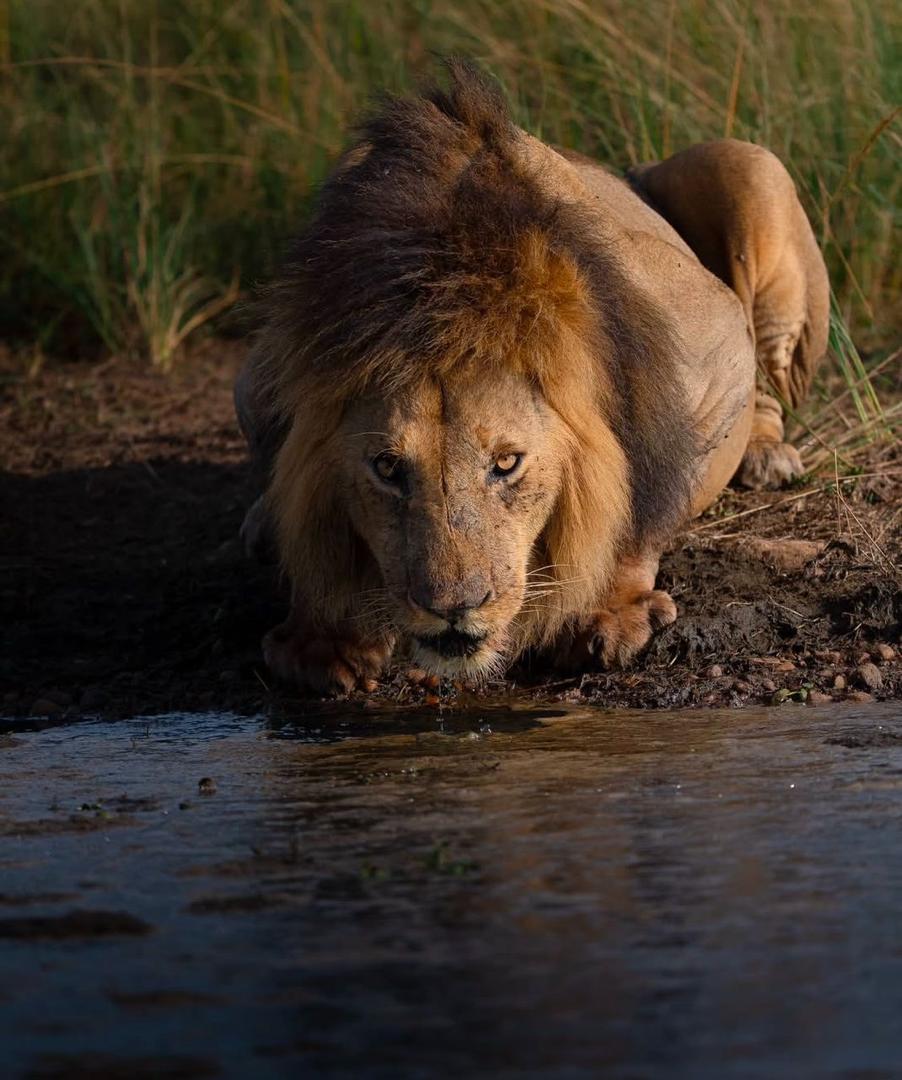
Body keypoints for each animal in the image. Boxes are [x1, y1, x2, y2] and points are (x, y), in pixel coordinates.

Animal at [235, 61, 829, 695]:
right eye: (387, 468)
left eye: (506, 463)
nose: (454, 608)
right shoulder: (261, 384)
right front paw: (322, 635)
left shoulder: (714, 344)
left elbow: (641, 491)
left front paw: (604, 612)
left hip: (752, 167)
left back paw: (767, 456)